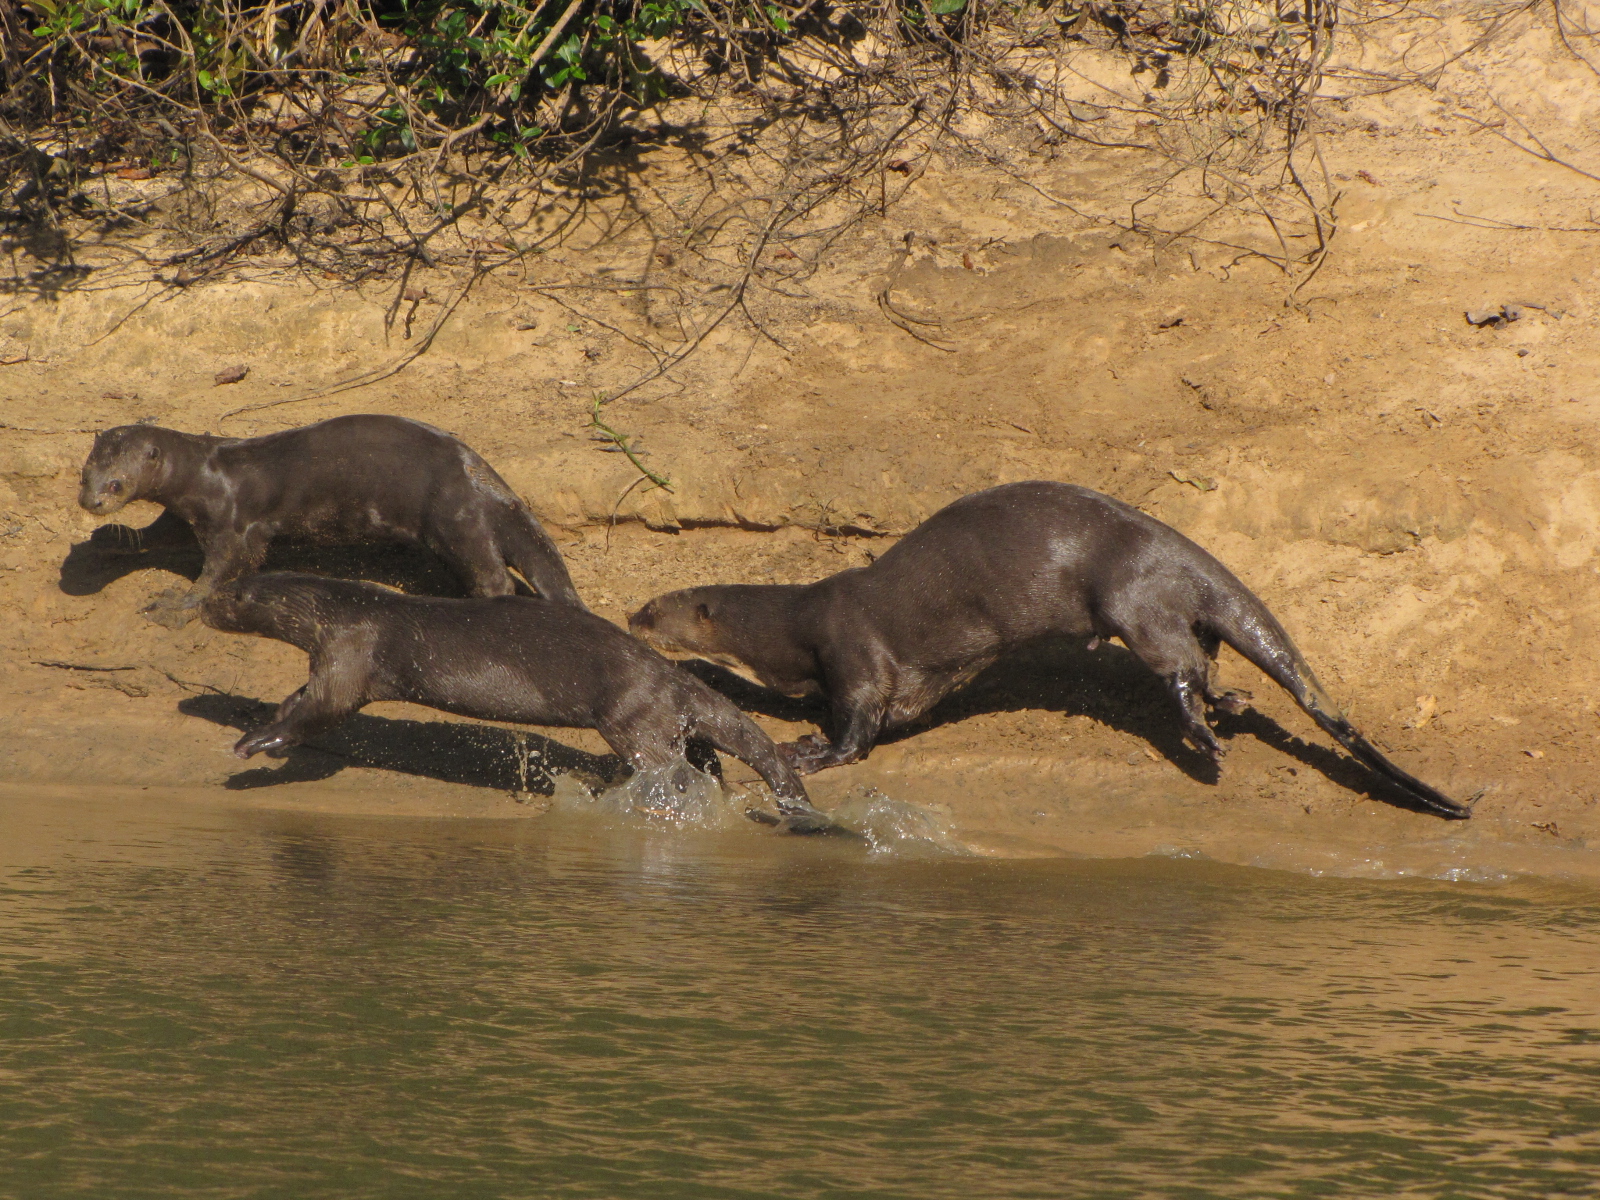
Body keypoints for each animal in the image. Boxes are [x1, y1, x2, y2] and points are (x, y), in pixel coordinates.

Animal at [78, 415, 583, 624]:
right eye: (85, 475)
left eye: (116, 484)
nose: (91, 502)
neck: (205, 473)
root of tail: (483, 477)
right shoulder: (181, 515)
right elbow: (155, 535)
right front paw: (109, 540)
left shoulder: (233, 523)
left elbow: (225, 567)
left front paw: (176, 602)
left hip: (454, 519)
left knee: (495, 577)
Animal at [201, 572, 822, 823]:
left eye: (225, 596)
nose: (198, 604)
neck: (337, 609)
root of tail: (670, 675)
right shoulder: (328, 655)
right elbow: (302, 699)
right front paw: (267, 718)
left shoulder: (350, 649)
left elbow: (324, 709)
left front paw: (255, 744)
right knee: (704, 752)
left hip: (629, 713)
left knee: (663, 762)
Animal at [629, 481, 1471, 819]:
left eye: (656, 609)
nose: (630, 613)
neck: (794, 624)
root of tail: (1175, 546)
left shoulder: (851, 653)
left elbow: (859, 728)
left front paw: (809, 751)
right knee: (1207, 661)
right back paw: (1230, 705)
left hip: (1132, 599)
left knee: (1177, 667)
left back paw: (1203, 737)